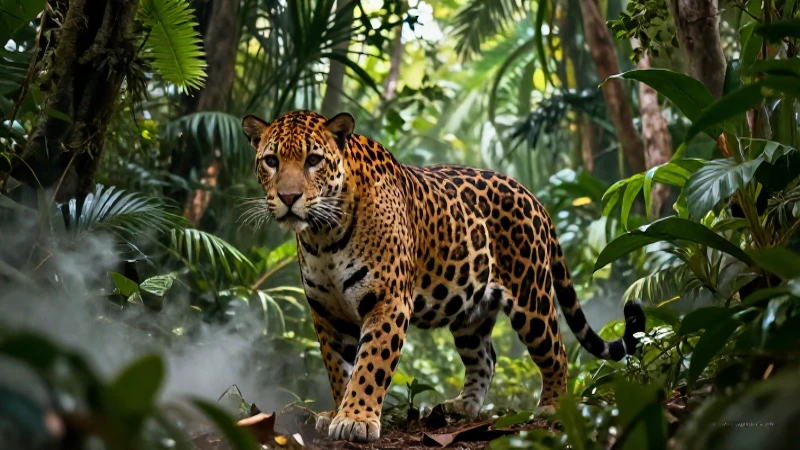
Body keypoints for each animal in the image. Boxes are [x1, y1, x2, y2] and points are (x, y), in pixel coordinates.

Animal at [241, 110, 645, 443]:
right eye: (271, 161)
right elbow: (339, 368)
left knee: (556, 351)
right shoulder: (326, 311)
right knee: (485, 357)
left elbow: (370, 365)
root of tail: (534, 197)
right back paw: (462, 407)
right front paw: (338, 410)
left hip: (531, 297)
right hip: (470, 312)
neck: (322, 235)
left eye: (313, 161)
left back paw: (552, 405)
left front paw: (356, 419)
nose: (289, 197)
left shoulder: (388, 301)